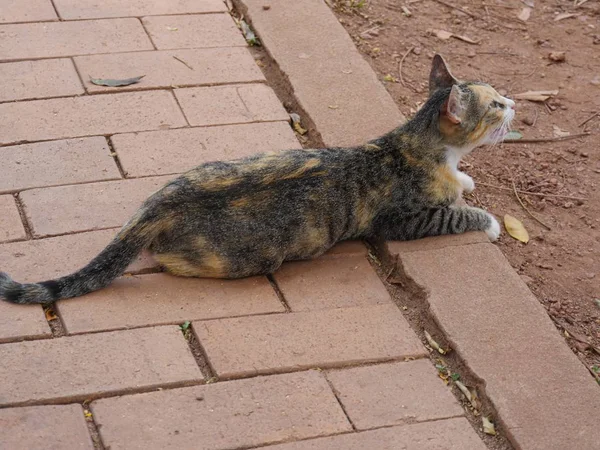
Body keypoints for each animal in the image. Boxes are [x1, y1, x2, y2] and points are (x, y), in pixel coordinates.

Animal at [1, 54, 516, 304]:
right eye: (494, 104)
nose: (513, 102)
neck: (417, 141)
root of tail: (160, 203)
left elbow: (461, 185)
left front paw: (465, 181)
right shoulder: (403, 220)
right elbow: (455, 215)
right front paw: (487, 220)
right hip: (249, 254)